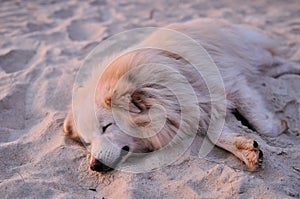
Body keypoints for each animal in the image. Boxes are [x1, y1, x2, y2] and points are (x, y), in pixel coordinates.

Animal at [62, 19, 298, 173]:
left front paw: (276, 128)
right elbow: (218, 135)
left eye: (107, 127)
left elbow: (258, 121)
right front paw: (247, 150)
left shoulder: (230, 86)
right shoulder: (199, 106)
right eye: (87, 142)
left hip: (254, 56)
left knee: (282, 63)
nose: (94, 166)